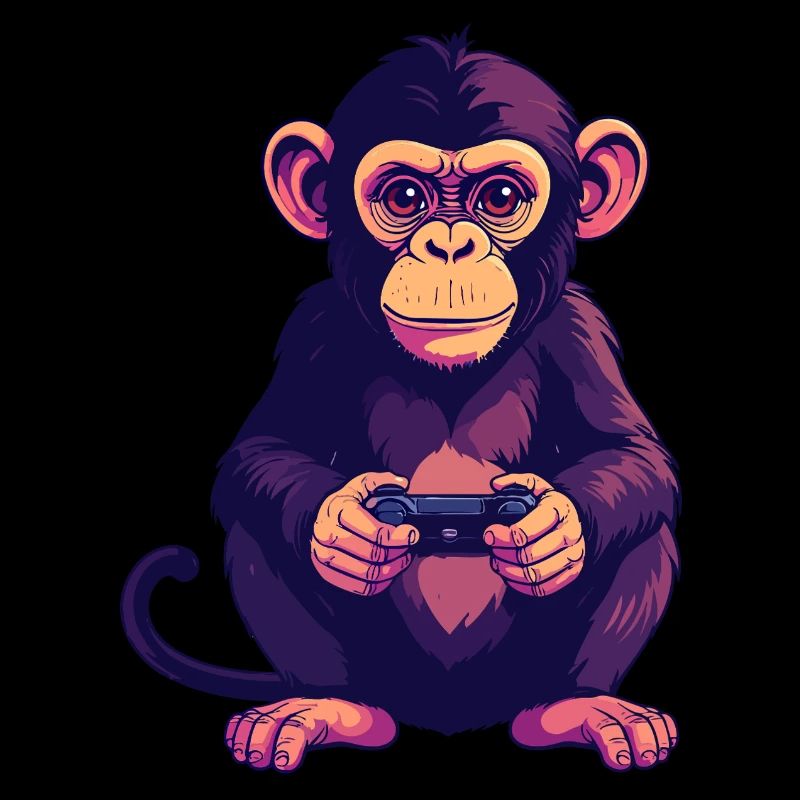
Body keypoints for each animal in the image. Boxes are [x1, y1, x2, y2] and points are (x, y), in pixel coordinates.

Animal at [122, 32, 680, 773]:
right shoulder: (316, 326)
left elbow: (633, 455)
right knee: (257, 532)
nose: (449, 244)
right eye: (405, 196)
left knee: (646, 531)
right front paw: (345, 526)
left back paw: (575, 707)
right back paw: (329, 707)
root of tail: (450, 718)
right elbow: (264, 450)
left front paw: (552, 528)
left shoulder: (580, 329)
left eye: (500, 197)